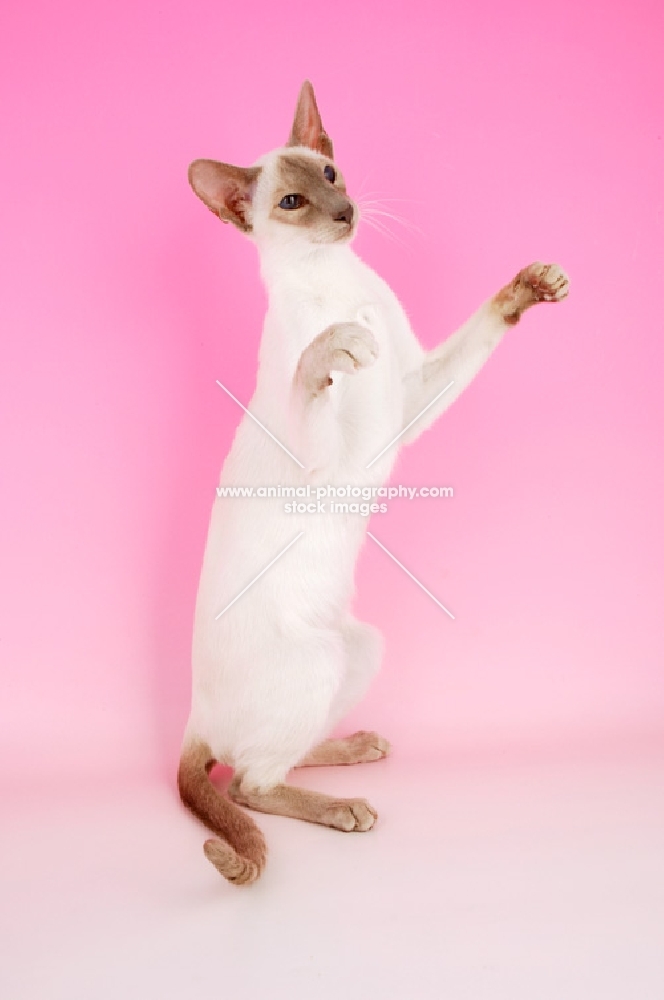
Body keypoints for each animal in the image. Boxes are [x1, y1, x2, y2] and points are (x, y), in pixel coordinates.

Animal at [178, 84, 572, 884]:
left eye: (332, 174)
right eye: (292, 200)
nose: (345, 212)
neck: (338, 282)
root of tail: (193, 718)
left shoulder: (408, 402)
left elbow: (477, 334)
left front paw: (530, 287)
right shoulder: (324, 456)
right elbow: (311, 371)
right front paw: (337, 344)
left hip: (357, 650)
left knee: (269, 760)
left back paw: (355, 749)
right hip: (316, 662)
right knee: (249, 784)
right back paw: (344, 810)